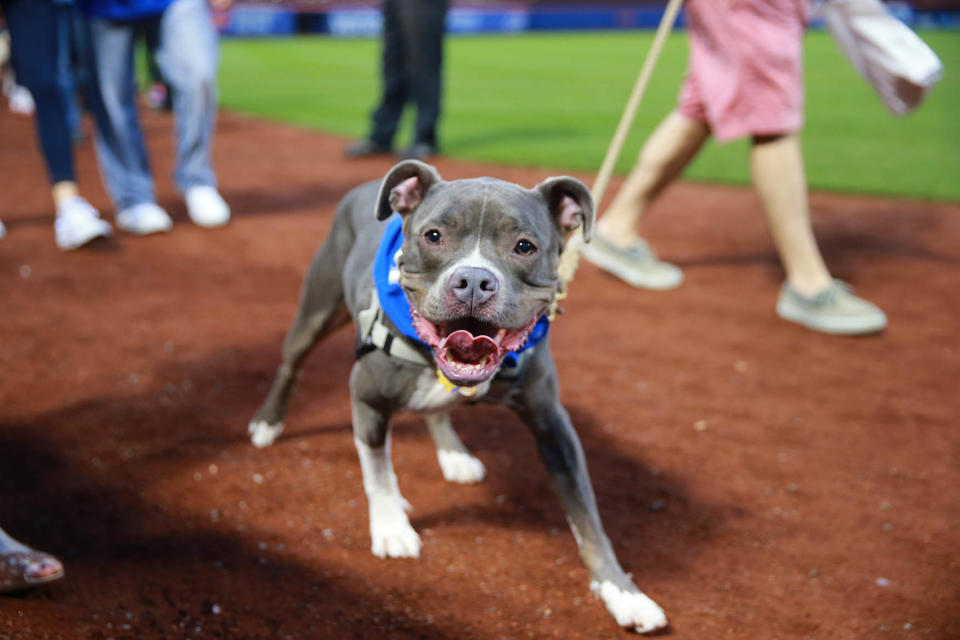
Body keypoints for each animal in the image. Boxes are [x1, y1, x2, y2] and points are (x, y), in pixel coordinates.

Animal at [248, 161, 668, 636]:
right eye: (434, 236)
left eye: (524, 246)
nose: (473, 281)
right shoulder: (366, 398)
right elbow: (378, 473)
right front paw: (391, 527)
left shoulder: (553, 427)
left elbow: (589, 521)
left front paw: (624, 593)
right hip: (316, 311)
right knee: (292, 364)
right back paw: (268, 422)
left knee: (436, 411)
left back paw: (453, 454)